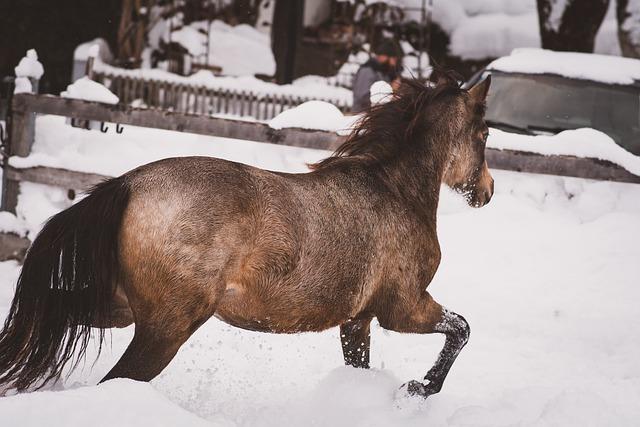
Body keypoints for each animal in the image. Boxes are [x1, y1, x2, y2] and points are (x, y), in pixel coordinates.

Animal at [0, 73, 496, 398]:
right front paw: (420, 388)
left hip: (120, 309)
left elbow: (363, 362)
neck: (394, 191)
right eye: (486, 133)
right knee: (115, 381)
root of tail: (128, 184)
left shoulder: (358, 320)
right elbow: (462, 329)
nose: (487, 192)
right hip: (166, 327)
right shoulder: (403, 307)